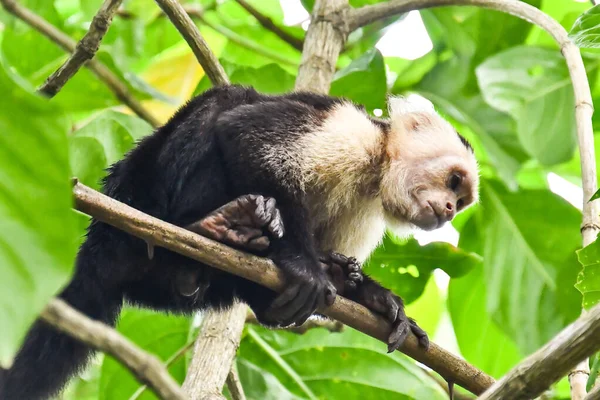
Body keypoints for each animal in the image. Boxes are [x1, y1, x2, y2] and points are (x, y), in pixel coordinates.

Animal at [0, 83, 478, 396]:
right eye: (454, 181)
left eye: (462, 200)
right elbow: (245, 133)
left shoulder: (367, 210)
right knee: (226, 103)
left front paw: (373, 297)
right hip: (144, 195)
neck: (376, 169)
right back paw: (210, 226)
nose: (449, 209)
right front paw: (306, 267)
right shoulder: (347, 133)